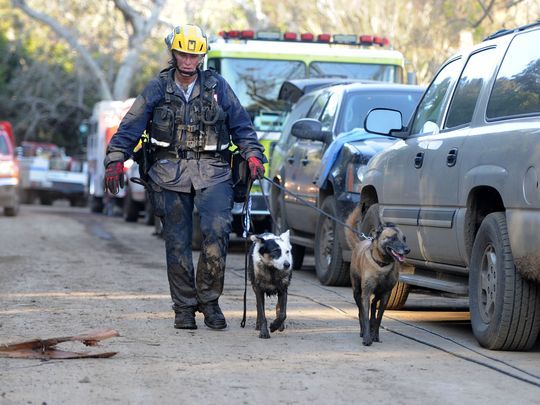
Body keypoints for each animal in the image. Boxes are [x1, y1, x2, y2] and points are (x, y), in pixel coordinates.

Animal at [346, 207, 410, 346]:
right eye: (392, 238)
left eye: (404, 239)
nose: (408, 250)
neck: (382, 265)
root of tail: (360, 243)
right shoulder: (366, 293)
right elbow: (365, 315)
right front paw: (367, 337)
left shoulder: (386, 295)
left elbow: (379, 317)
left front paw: (375, 335)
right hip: (357, 291)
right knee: (361, 311)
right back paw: (363, 331)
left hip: (379, 293)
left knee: (374, 303)